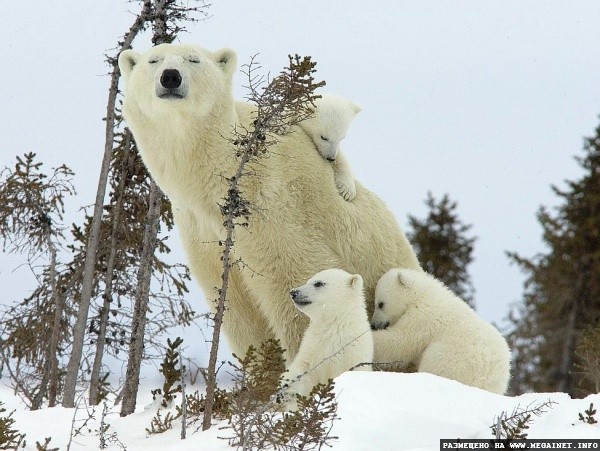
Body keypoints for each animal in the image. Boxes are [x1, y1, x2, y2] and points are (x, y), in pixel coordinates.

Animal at [117, 43, 418, 360]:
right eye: (153, 60)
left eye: (193, 59)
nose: (171, 77)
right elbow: (238, 311)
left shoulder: (274, 206)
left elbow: (296, 283)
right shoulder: (202, 231)